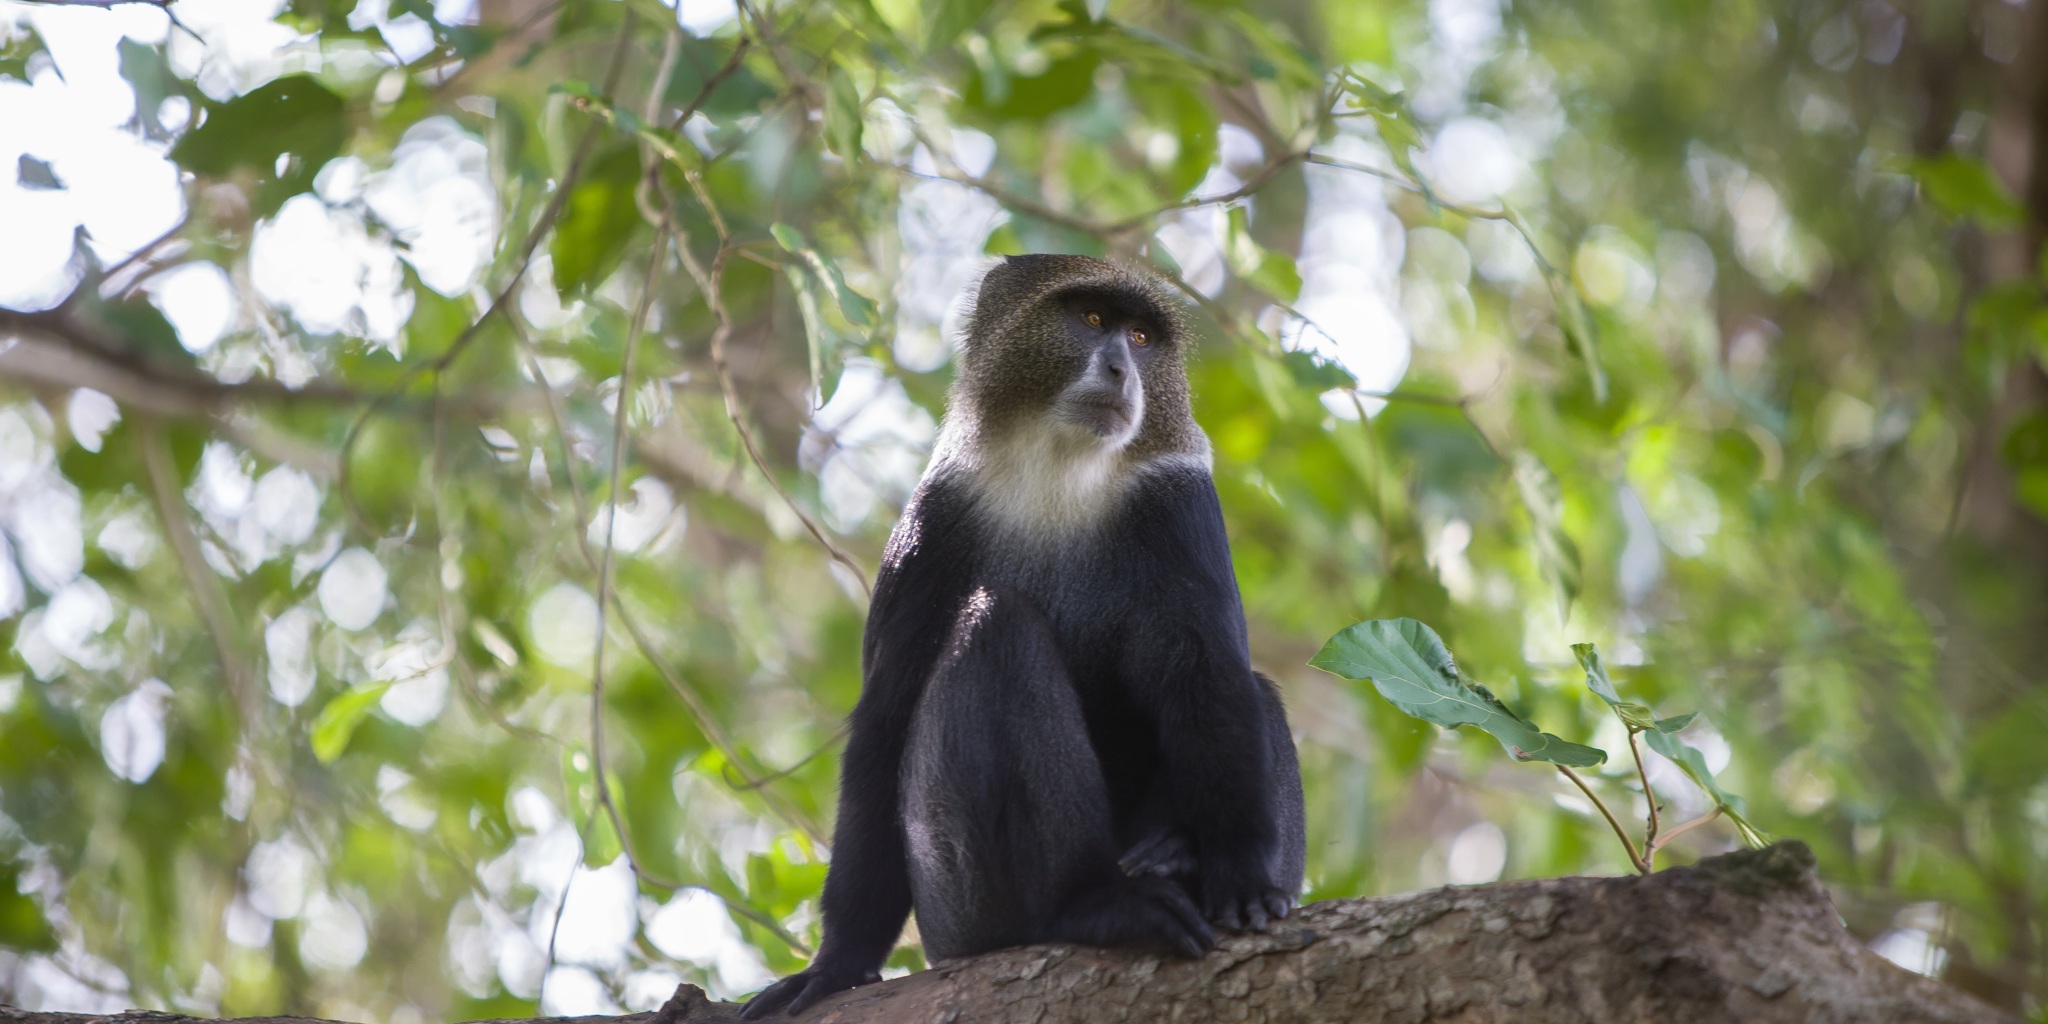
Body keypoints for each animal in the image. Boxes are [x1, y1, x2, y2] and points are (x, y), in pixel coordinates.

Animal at [740, 254, 1307, 1018]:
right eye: (1092, 320)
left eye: (1142, 338)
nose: (1120, 369)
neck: (1059, 474)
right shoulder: (931, 521)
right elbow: (885, 718)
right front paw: (839, 963)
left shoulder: (1178, 499)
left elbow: (1208, 675)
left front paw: (1239, 869)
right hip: (959, 904)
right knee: (997, 627)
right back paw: (1089, 906)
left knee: (1258, 693)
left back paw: (1173, 859)